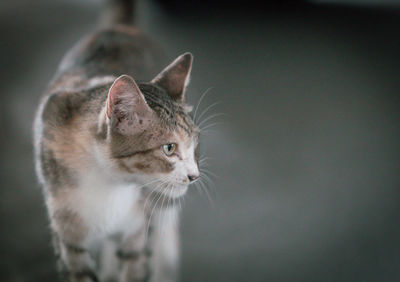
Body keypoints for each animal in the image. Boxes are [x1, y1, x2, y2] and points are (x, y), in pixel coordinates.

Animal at [33, 1, 200, 280]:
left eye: (195, 145)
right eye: (169, 148)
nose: (194, 176)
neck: (108, 181)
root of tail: (122, 27)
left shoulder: (137, 229)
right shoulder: (68, 235)